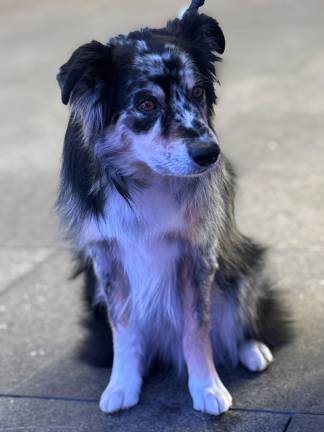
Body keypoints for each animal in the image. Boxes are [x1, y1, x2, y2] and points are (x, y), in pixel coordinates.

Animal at [56, 0, 294, 416]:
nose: (209, 154)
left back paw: (252, 349)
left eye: (197, 91)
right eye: (146, 103)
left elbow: (197, 328)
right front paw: (123, 384)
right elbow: (124, 328)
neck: (145, 176)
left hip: (245, 264)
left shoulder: (197, 253)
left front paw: (207, 387)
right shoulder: (106, 258)